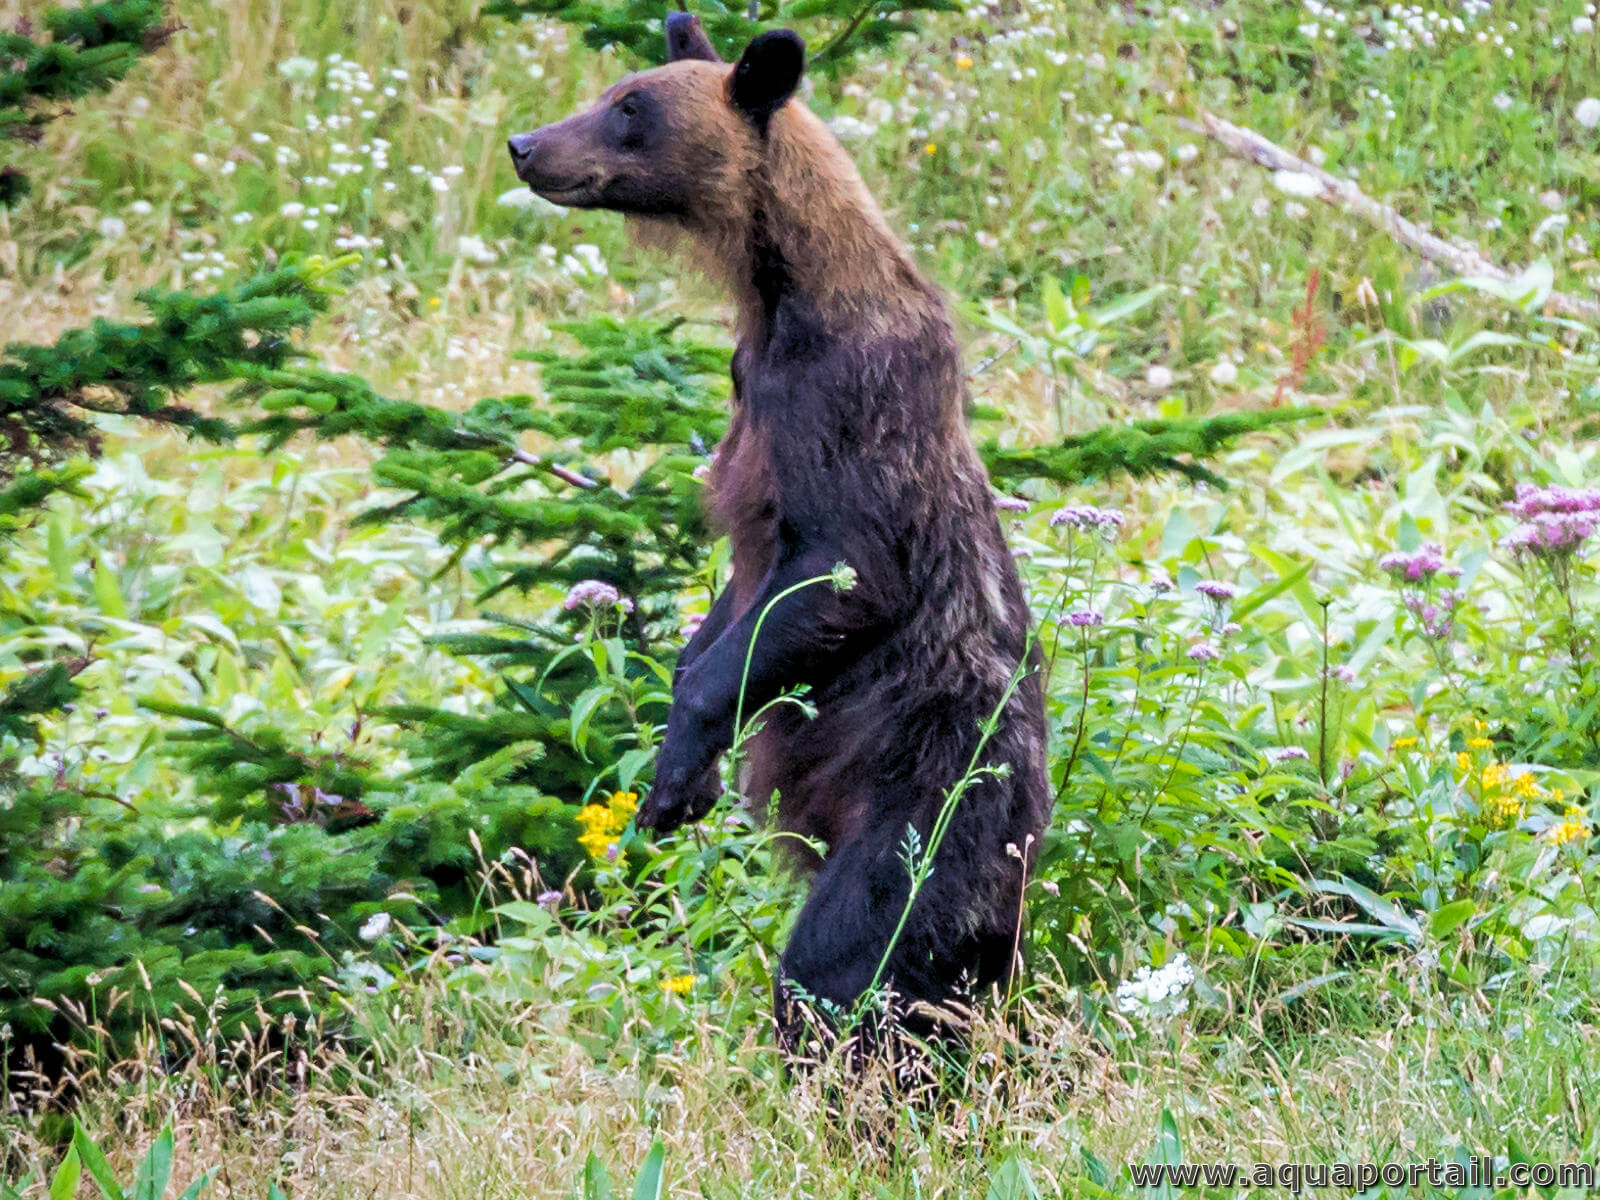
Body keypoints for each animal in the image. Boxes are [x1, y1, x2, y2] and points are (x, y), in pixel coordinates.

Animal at [508, 16, 1049, 1049]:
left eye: (629, 107)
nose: (525, 144)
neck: (781, 295)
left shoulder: (849, 404)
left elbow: (847, 571)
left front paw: (677, 768)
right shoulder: (747, 392)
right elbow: (739, 601)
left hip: (930, 800)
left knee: (853, 957)